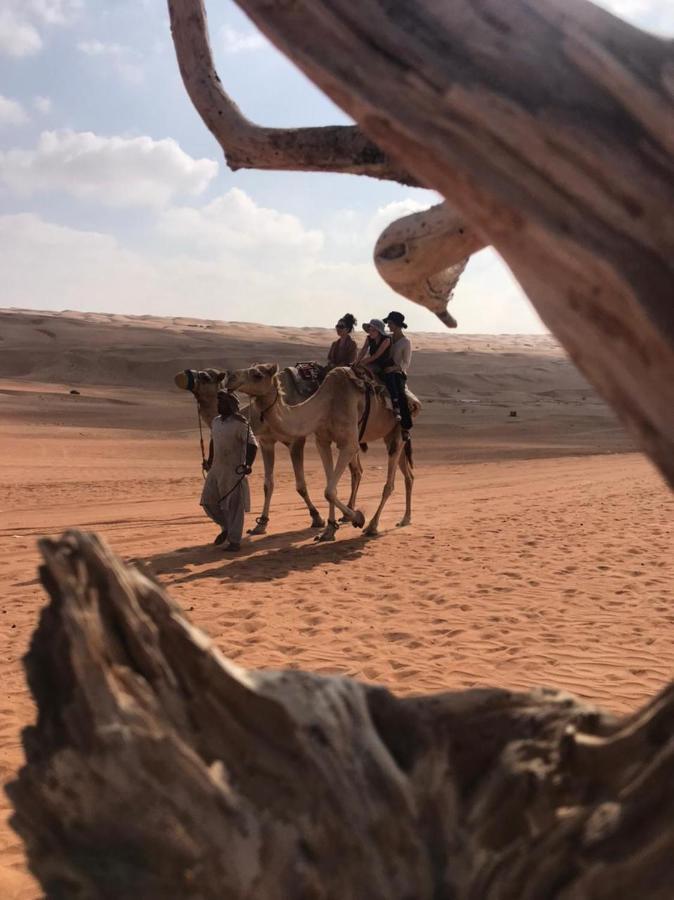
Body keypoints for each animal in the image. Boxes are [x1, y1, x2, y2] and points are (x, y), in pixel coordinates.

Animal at [173, 368, 362, 536]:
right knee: (356, 469)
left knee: (356, 470)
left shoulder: (296, 441)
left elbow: (301, 485)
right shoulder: (266, 442)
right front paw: (261, 524)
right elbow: (268, 485)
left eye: (205, 376)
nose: (181, 375)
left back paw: (349, 513)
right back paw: (348, 513)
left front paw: (317, 518)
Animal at [227, 360, 414, 540]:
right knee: (404, 474)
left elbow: (323, 489)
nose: (230, 376)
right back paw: (404, 518)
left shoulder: (344, 444)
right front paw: (329, 529)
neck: (326, 403)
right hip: (390, 435)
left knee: (388, 483)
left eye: (257, 375)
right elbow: (328, 488)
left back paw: (372, 526)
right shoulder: (319, 441)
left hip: (398, 430)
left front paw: (355, 518)